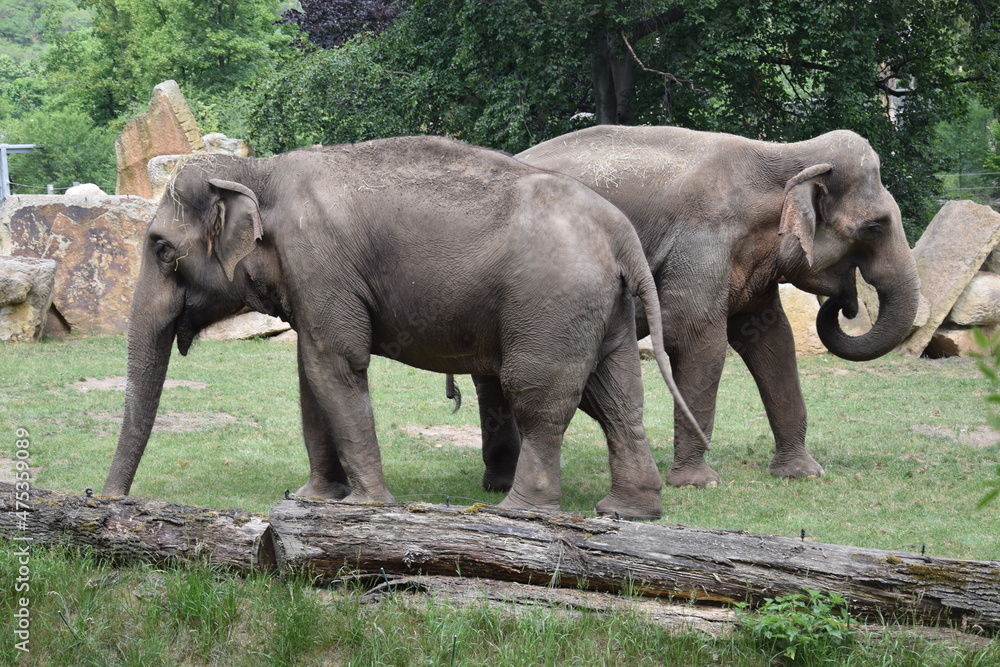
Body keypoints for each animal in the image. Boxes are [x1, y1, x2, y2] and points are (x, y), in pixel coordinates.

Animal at [101, 135, 707, 519]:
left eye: (161, 249)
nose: (110, 500)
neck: (259, 171)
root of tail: (620, 231)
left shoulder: (318, 261)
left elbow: (336, 362)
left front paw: (367, 505)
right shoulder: (309, 280)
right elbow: (310, 373)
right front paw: (313, 499)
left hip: (551, 302)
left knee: (542, 397)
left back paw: (517, 511)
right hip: (601, 307)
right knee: (616, 395)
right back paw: (628, 511)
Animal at [469, 125, 921, 491]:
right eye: (875, 227)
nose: (846, 304)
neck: (783, 155)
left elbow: (773, 339)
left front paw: (803, 474)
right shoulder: (701, 240)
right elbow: (698, 338)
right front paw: (699, 483)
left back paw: (502, 482)